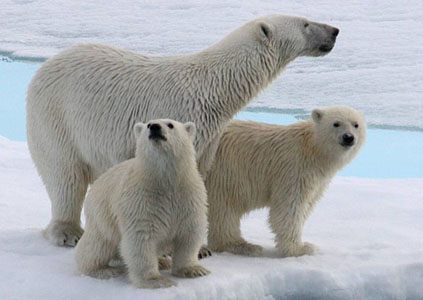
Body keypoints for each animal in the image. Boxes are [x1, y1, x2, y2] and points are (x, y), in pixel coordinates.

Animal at [26, 14, 340, 246]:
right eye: (306, 23)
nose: (335, 31)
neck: (212, 90)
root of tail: (45, 67)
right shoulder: (175, 116)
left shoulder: (207, 135)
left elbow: (197, 175)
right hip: (57, 117)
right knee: (65, 174)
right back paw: (67, 232)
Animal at [75, 119, 211, 288]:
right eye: (148, 124)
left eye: (170, 124)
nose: (155, 127)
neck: (164, 181)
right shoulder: (142, 201)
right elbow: (141, 238)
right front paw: (156, 280)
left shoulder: (188, 197)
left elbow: (189, 233)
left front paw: (194, 270)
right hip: (102, 215)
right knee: (98, 244)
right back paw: (102, 270)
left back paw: (162, 261)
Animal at [207, 106, 366, 256]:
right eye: (336, 123)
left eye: (356, 124)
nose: (348, 137)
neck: (313, 149)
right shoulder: (294, 169)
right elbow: (289, 207)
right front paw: (301, 248)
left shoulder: (318, 180)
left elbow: (307, 204)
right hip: (224, 172)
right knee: (225, 207)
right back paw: (243, 246)